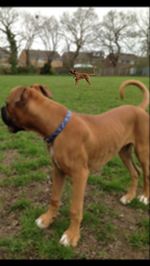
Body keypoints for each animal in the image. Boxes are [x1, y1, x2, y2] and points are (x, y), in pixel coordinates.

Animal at [0, 79, 149, 247]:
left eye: (7, 103)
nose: (1, 109)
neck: (57, 125)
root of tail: (138, 109)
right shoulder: (58, 170)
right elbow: (54, 198)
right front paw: (47, 219)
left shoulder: (80, 175)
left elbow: (75, 209)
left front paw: (71, 236)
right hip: (123, 152)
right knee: (135, 172)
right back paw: (129, 197)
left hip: (142, 151)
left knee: (146, 174)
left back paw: (144, 197)